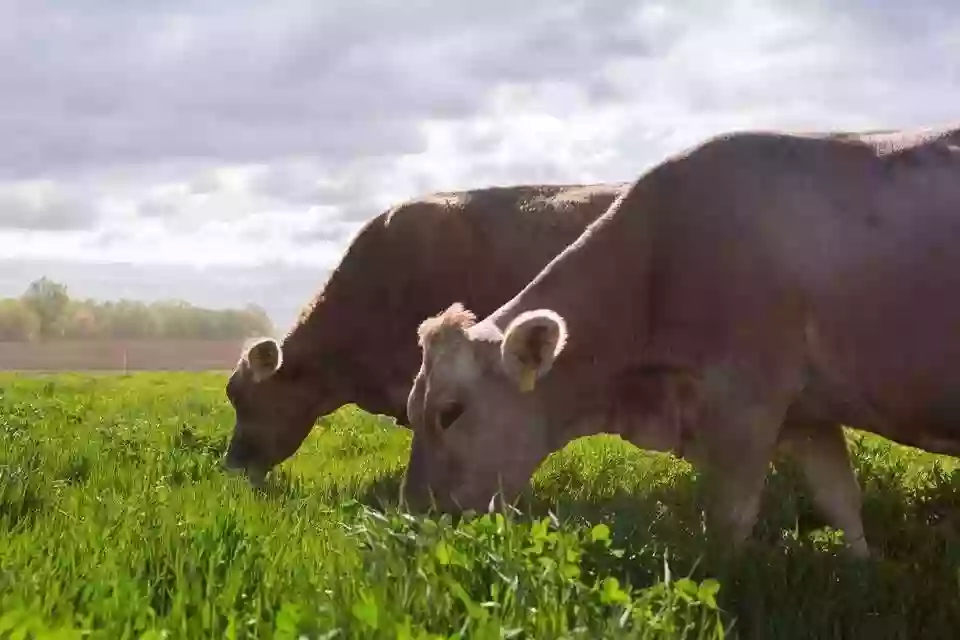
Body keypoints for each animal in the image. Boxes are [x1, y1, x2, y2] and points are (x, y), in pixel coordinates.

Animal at [402, 125, 960, 556]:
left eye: (449, 413)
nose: (415, 518)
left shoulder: (746, 404)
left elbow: (730, 523)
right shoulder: (809, 413)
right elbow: (841, 502)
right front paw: (864, 571)